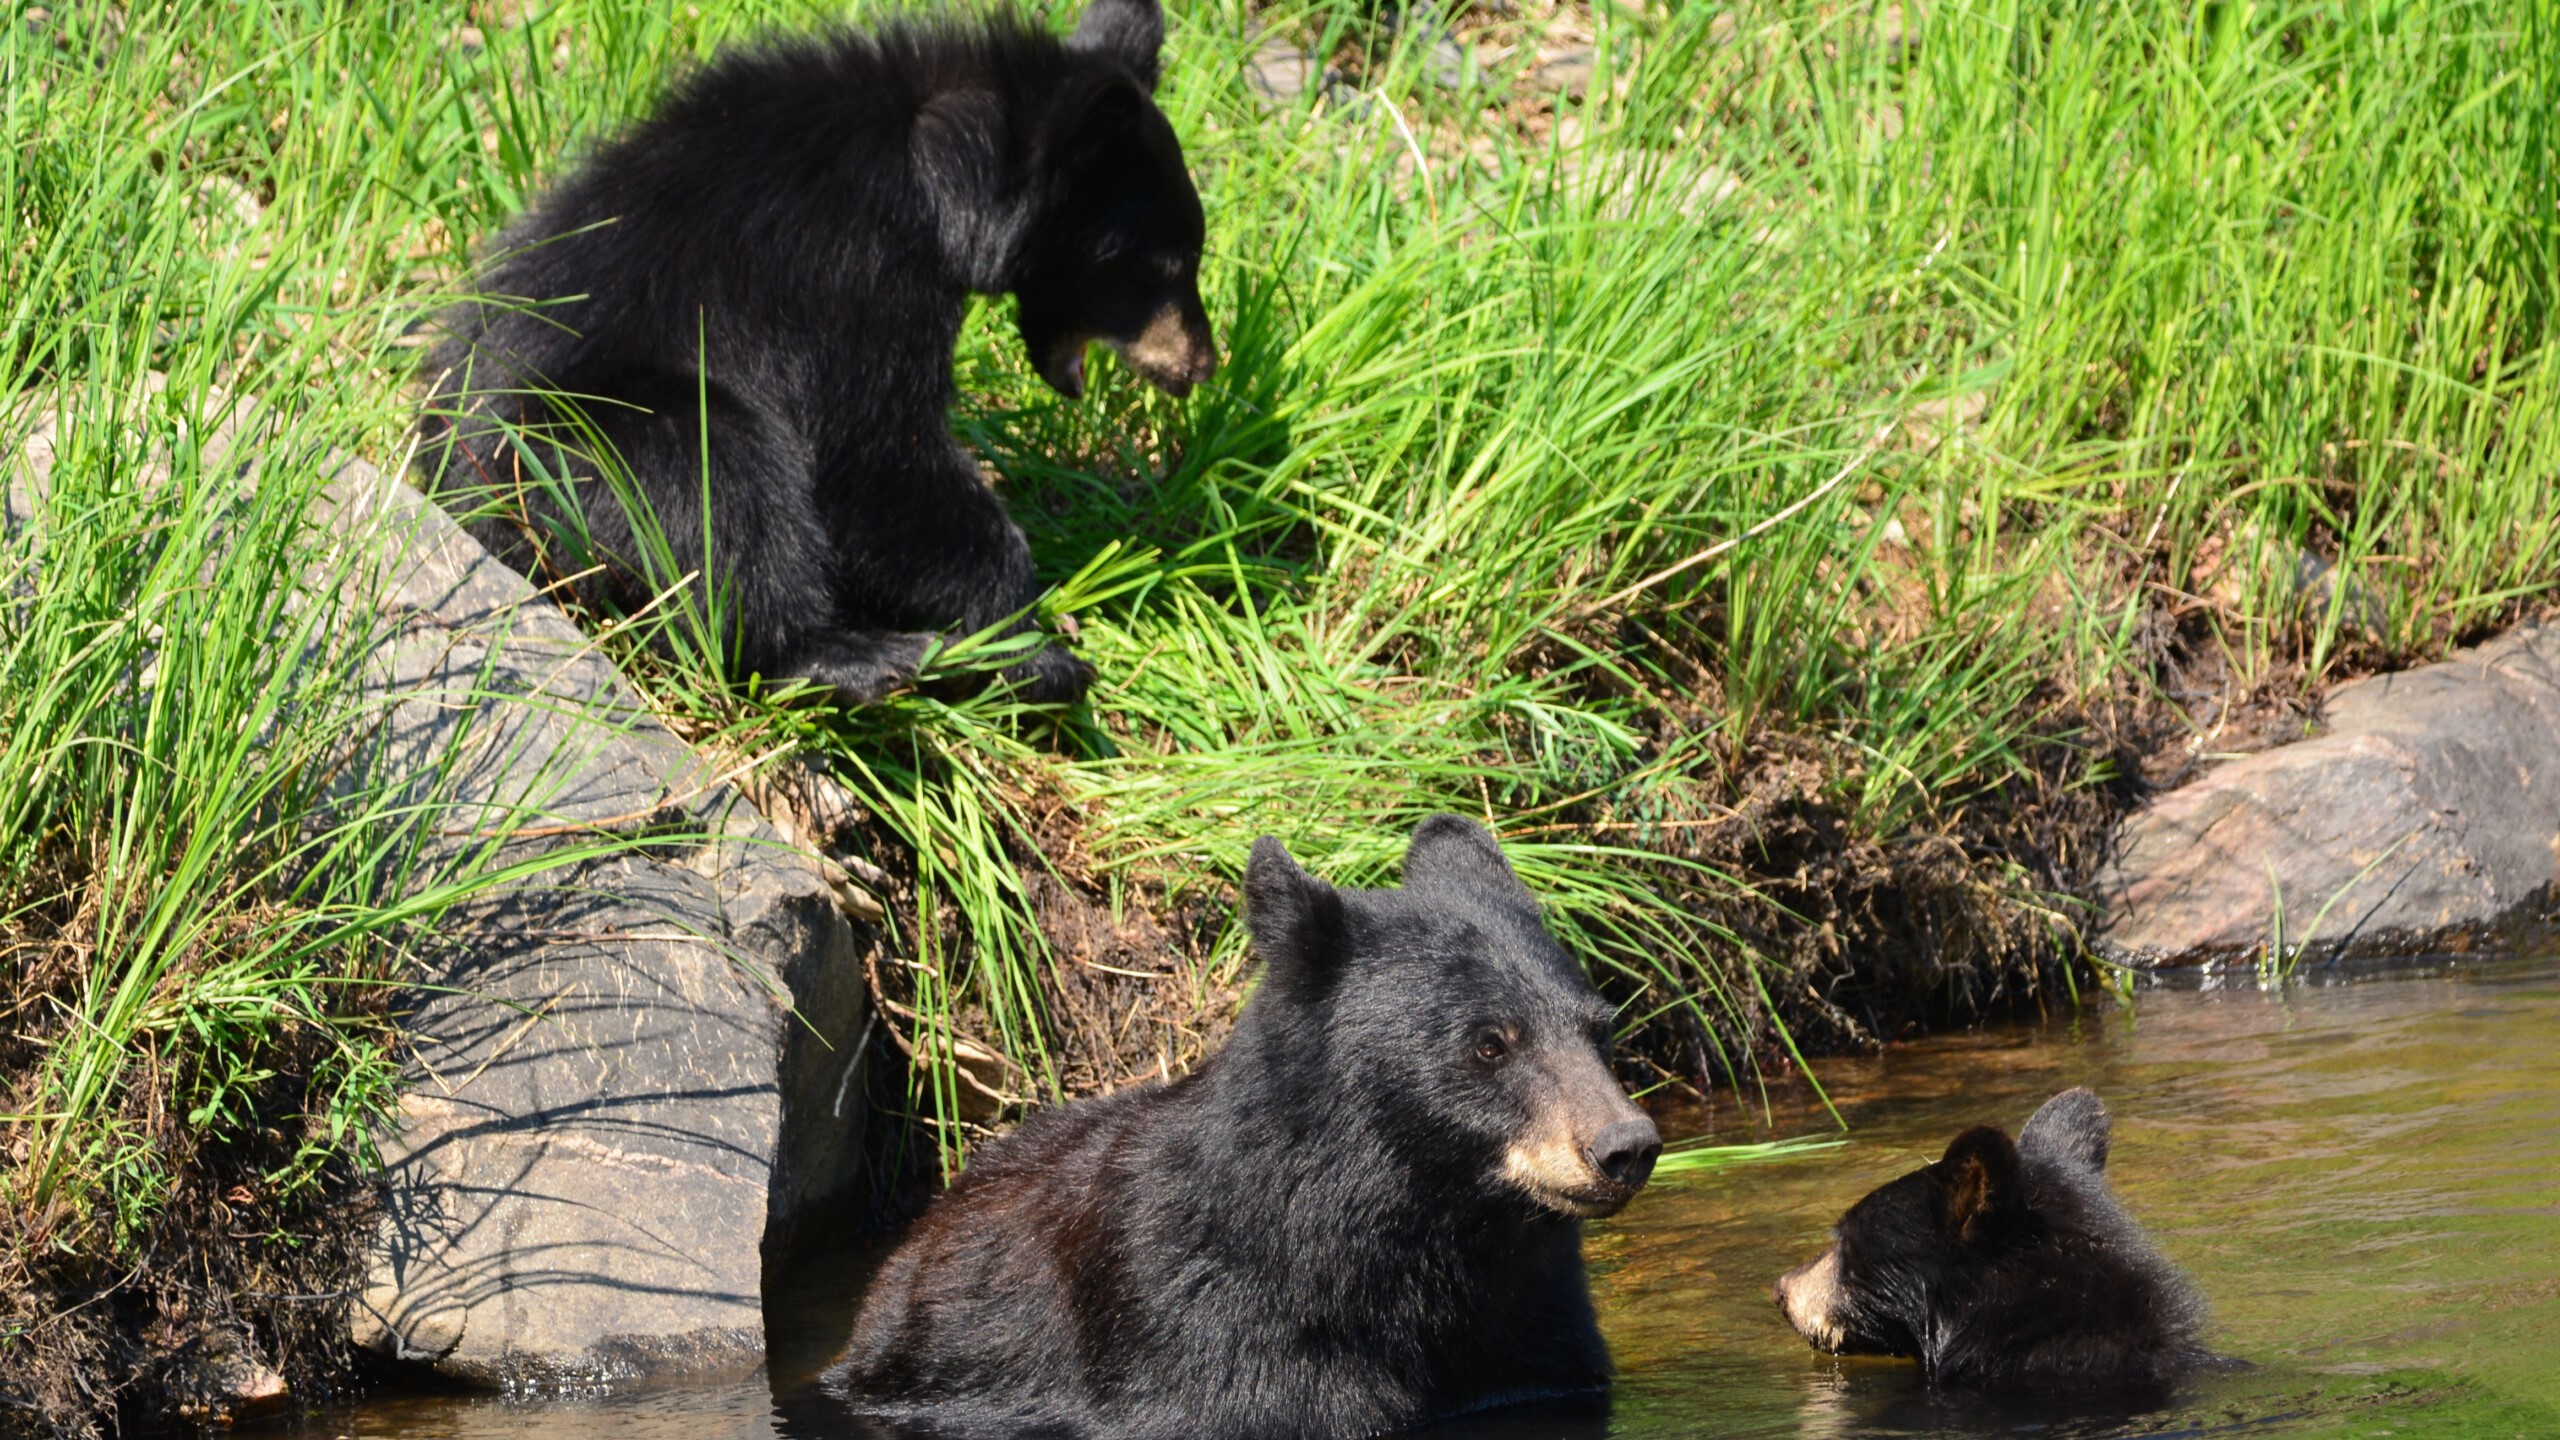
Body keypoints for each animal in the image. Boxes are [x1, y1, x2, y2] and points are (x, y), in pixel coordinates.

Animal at [422, 0, 1218, 702]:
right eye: (1163, 264)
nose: (1200, 366)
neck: (941, 166)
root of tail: (464, 506)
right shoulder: (854, 273)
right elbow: (872, 456)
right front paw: (1034, 645)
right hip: (571, 449)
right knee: (716, 484)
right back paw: (853, 660)